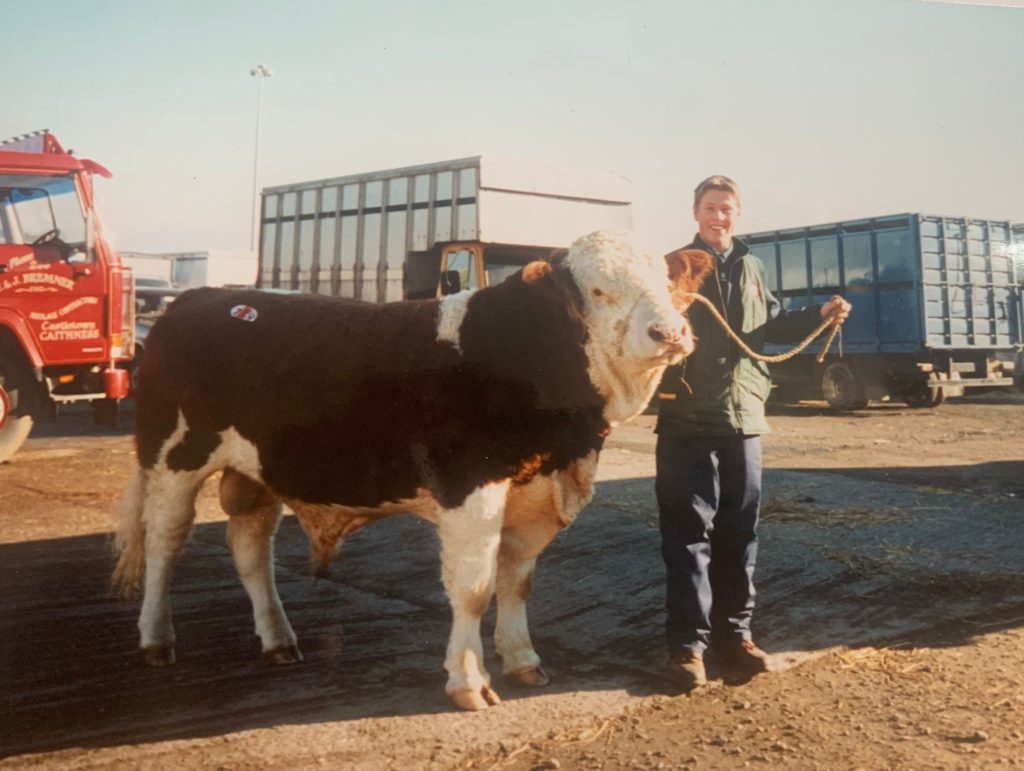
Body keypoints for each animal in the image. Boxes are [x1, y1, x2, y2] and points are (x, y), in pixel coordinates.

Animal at [112, 230, 712, 708]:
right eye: (598, 290)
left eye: (665, 282)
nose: (670, 332)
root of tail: (197, 300)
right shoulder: (471, 487)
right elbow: (474, 588)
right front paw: (469, 682)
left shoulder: (533, 493)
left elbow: (517, 582)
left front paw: (523, 661)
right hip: (173, 458)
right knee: (165, 541)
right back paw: (155, 639)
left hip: (256, 470)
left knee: (250, 548)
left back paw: (279, 640)